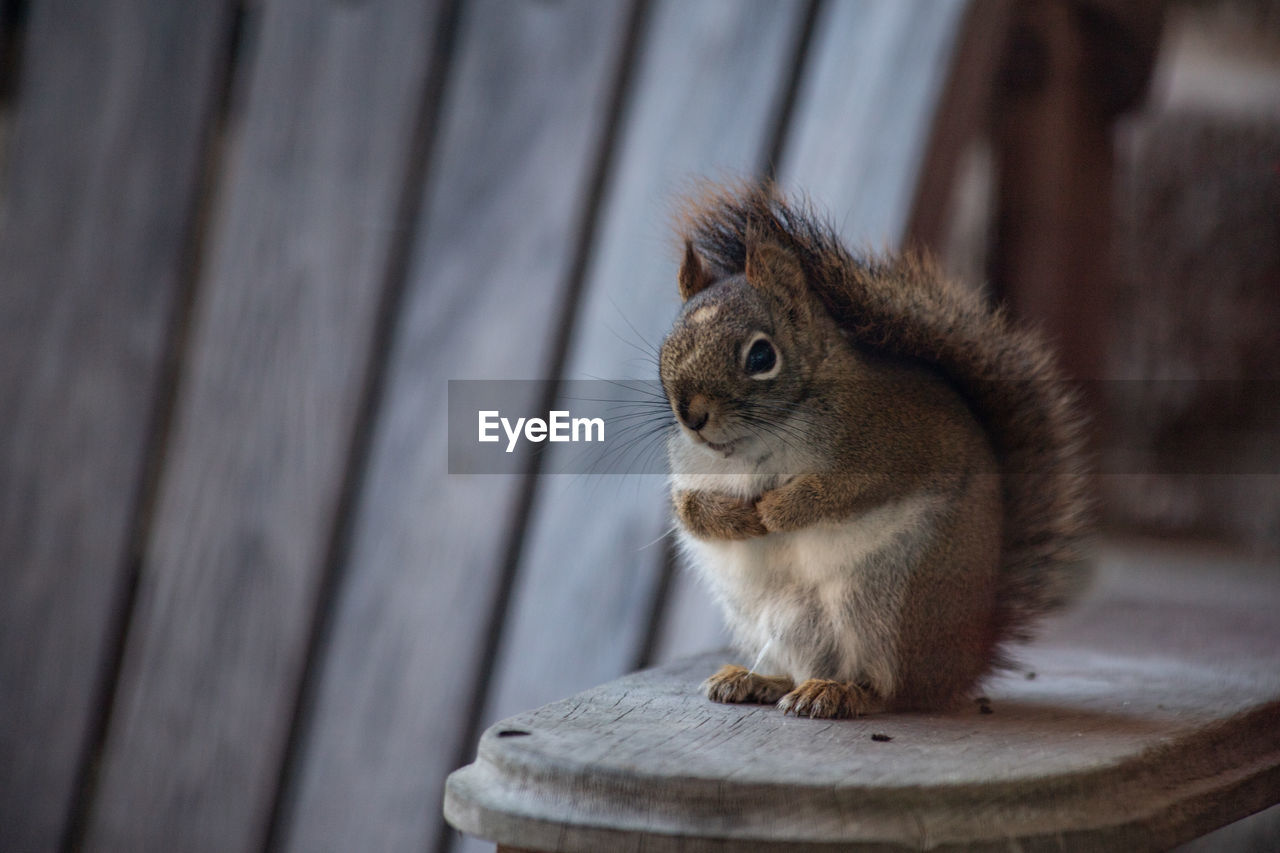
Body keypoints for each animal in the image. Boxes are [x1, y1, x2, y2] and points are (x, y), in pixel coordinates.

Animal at [660, 180, 1090, 717]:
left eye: (761, 356)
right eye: (666, 347)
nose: (691, 416)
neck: (748, 447)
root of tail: (965, 662)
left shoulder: (891, 444)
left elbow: (845, 489)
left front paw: (778, 511)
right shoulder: (688, 470)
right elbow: (689, 509)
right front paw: (735, 519)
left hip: (891, 604)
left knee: (894, 690)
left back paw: (843, 692)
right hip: (776, 617)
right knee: (800, 666)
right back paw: (758, 679)